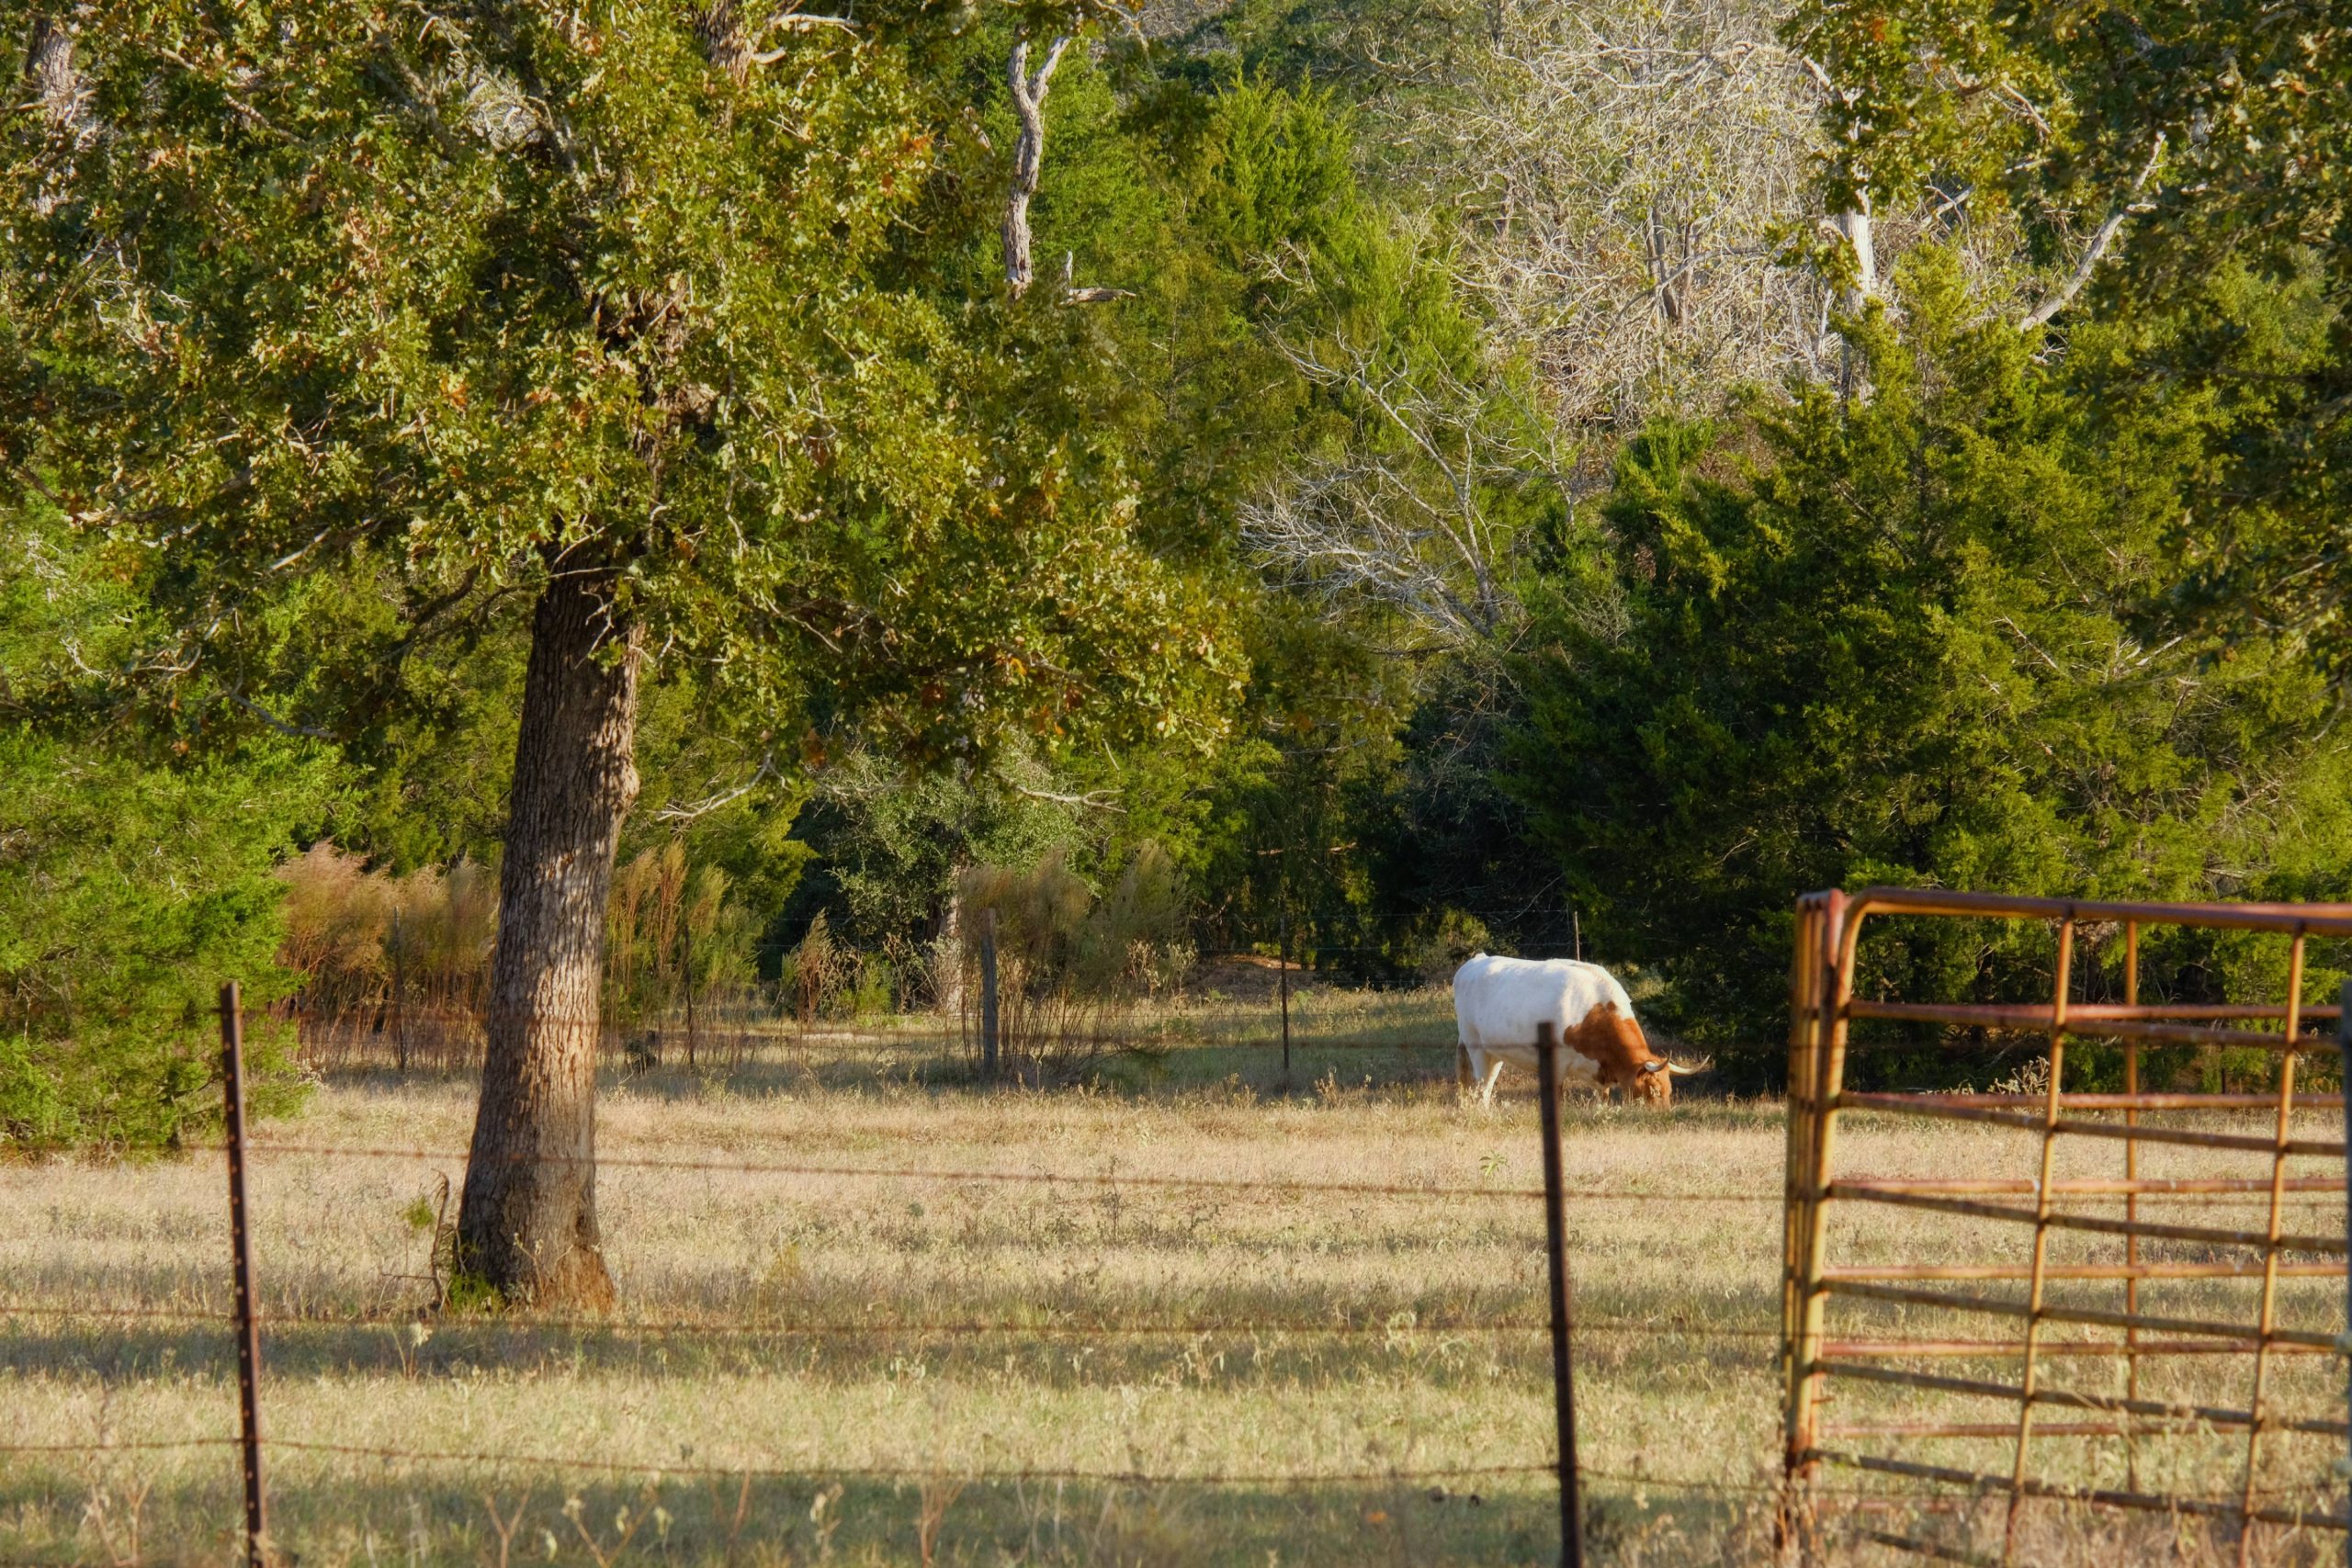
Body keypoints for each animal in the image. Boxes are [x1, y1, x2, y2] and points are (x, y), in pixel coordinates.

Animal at [1452, 953, 1706, 1107]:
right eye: (1653, 1090)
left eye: (1670, 1090)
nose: (1663, 1116)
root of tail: (1475, 961)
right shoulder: (1556, 1063)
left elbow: (1603, 1099)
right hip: (1475, 1046)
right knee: (1481, 1085)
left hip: (1495, 1054)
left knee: (1488, 1084)